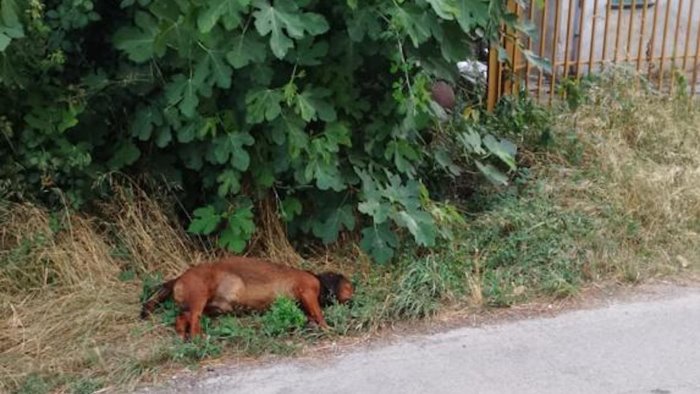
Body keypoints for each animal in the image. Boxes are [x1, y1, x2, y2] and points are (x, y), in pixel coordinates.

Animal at [139, 255, 352, 338]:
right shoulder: (307, 290)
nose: (353, 296)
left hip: (201, 306)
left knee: (182, 318)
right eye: (349, 286)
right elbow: (319, 313)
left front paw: (312, 325)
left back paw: (183, 335)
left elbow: (310, 315)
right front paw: (327, 327)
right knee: (193, 319)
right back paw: (199, 337)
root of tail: (177, 278)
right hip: (200, 295)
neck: (319, 280)